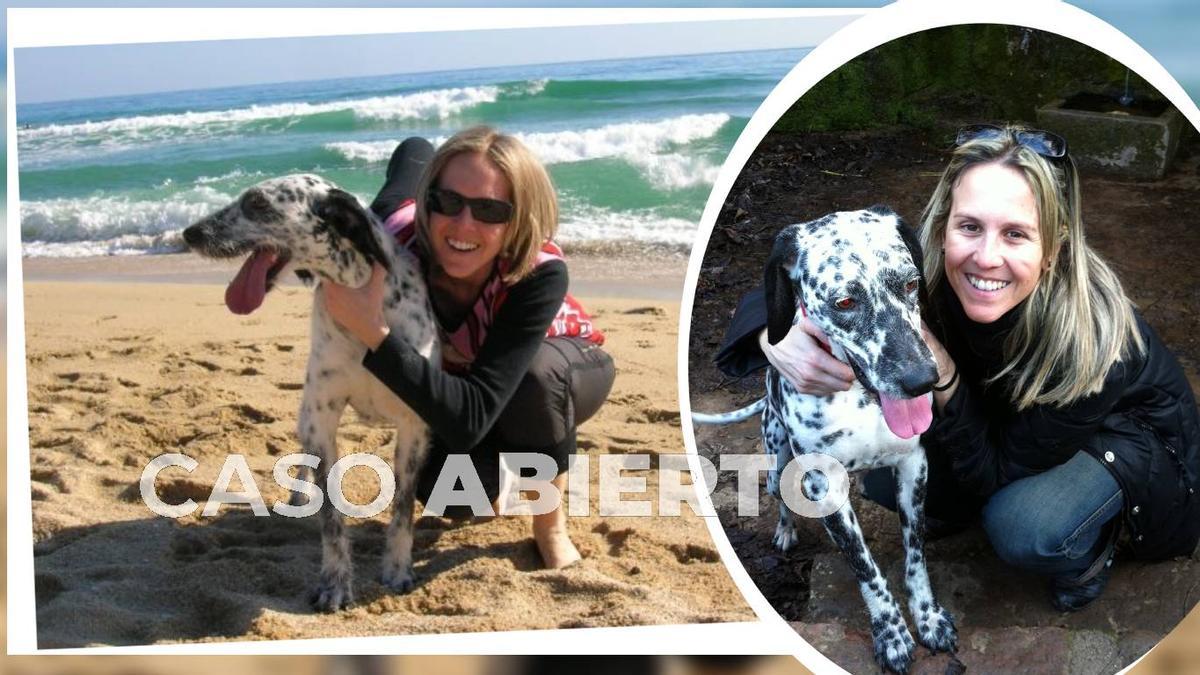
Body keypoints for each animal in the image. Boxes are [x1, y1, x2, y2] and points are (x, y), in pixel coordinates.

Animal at [182, 172, 436, 610]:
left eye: (258, 203)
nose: (189, 233)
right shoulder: (321, 419)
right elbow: (332, 518)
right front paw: (335, 584)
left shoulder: (413, 426)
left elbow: (402, 509)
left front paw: (397, 569)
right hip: (306, 416)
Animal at [696, 206, 955, 672]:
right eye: (845, 302)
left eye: (910, 282)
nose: (922, 381)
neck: (860, 399)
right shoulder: (825, 487)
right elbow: (866, 569)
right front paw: (891, 634)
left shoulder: (914, 467)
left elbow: (916, 554)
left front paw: (926, 617)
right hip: (777, 463)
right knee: (781, 500)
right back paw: (784, 532)